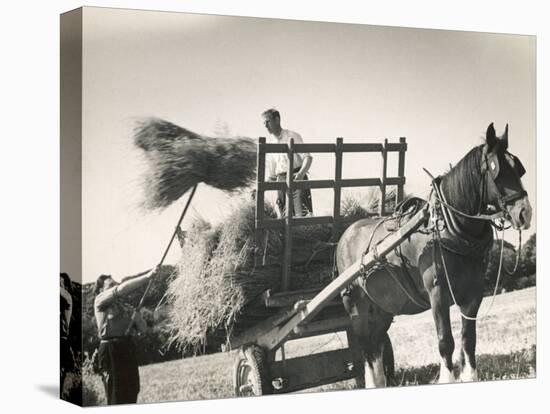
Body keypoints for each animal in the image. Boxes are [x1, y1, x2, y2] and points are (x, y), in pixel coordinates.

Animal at [338, 121, 532, 386]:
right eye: (496, 170)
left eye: (519, 169)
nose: (525, 213)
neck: (448, 227)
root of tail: (345, 235)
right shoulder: (437, 293)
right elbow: (445, 340)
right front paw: (447, 378)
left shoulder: (473, 293)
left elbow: (468, 339)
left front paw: (470, 376)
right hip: (356, 303)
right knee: (365, 345)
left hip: (382, 307)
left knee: (377, 344)